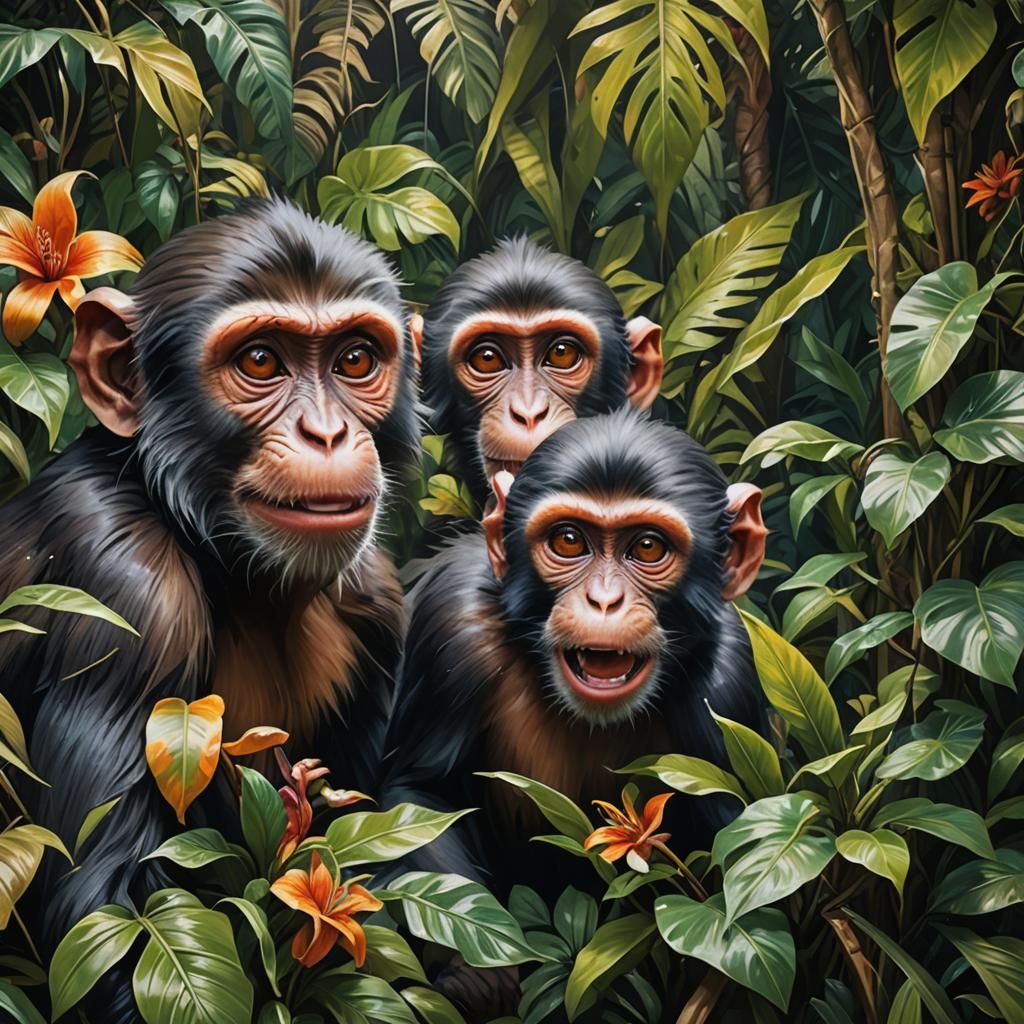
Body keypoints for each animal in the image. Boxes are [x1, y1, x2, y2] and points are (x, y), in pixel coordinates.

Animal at [0, 198, 419, 1022]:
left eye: (356, 360)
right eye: (259, 362)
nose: (327, 432)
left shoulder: (378, 599)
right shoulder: (123, 589)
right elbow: (119, 915)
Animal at [379, 408, 768, 891]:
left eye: (647, 547)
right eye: (568, 541)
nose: (603, 600)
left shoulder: (730, 683)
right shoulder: (453, 623)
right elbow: (421, 797)